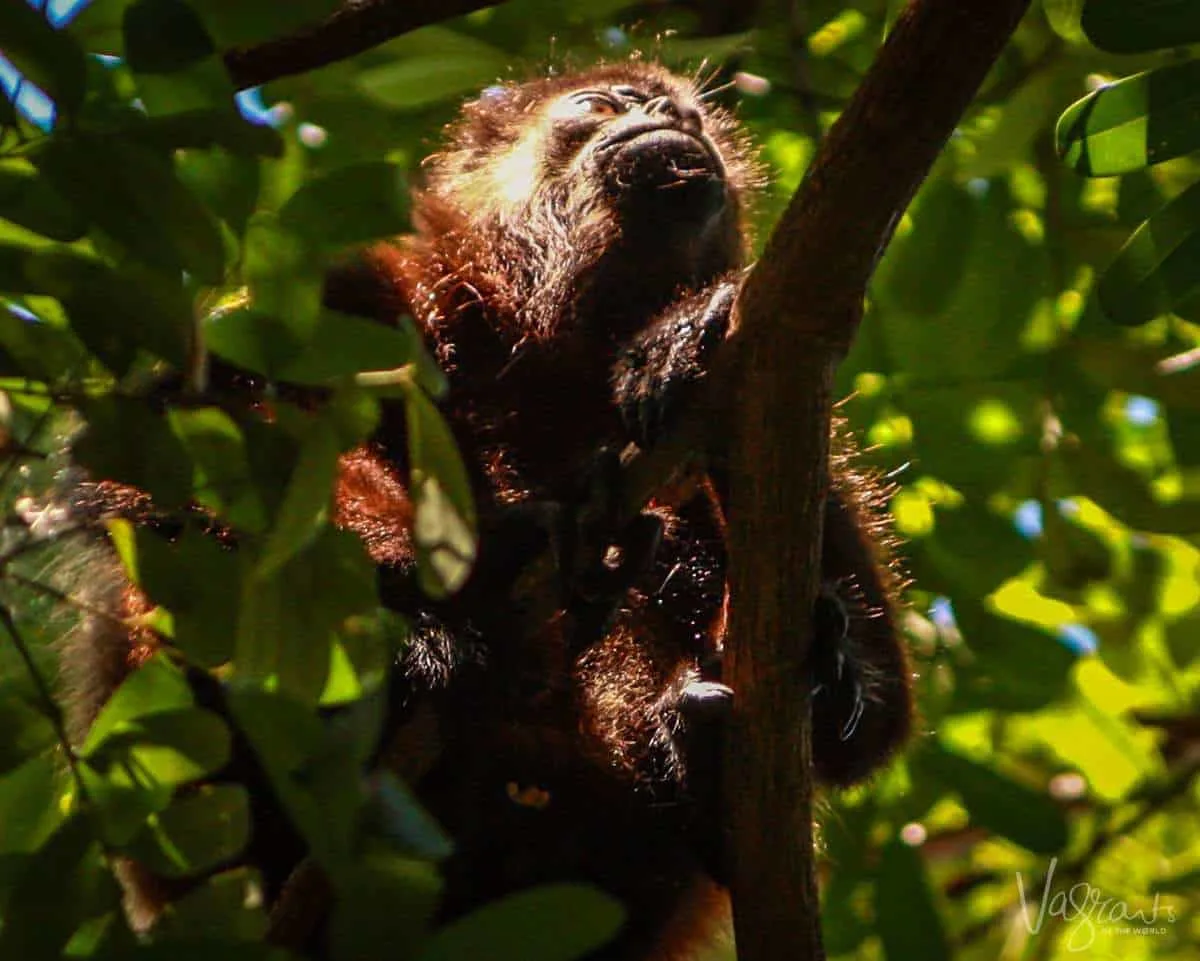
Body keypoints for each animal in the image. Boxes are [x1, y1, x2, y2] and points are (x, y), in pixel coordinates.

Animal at [56, 61, 907, 959]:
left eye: (685, 114)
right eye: (602, 104)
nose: (664, 119)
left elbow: (874, 728)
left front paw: (686, 336)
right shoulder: (369, 284)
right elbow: (155, 437)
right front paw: (487, 576)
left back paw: (725, 737)